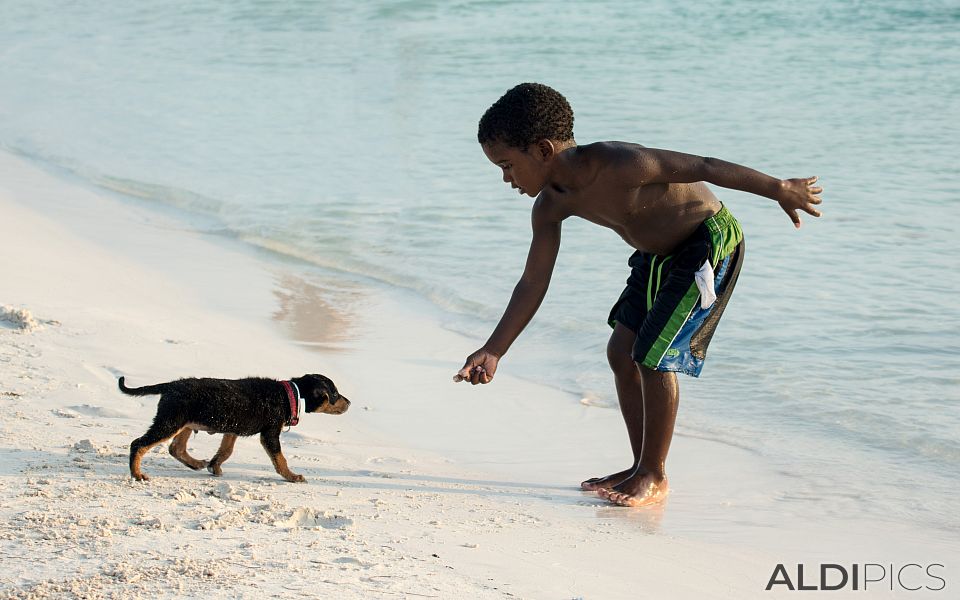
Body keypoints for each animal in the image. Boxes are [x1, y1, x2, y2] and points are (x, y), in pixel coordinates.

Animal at [117, 376, 346, 482]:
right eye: (335, 394)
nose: (349, 403)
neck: (288, 394)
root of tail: (171, 385)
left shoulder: (232, 429)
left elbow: (226, 451)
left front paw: (214, 466)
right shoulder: (270, 433)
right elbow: (280, 459)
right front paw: (292, 476)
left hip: (185, 423)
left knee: (176, 448)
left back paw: (196, 463)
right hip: (171, 421)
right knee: (138, 444)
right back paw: (137, 474)